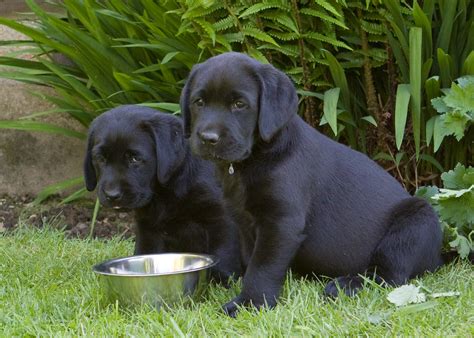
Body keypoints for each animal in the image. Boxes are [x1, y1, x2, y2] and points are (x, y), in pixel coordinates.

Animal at [82, 105, 243, 282]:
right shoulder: (149, 227)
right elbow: (146, 251)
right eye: (100, 158)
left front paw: (221, 279)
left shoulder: (222, 218)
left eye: (135, 158)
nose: (112, 195)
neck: (167, 189)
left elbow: (224, 250)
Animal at [181, 51, 444, 316]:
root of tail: (439, 258)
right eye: (199, 102)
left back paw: (345, 285)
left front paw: (250, 302)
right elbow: (249, 258)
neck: (253, 159)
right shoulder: (243, 220)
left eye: (239, 104)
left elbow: (262, 265)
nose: (208, 138)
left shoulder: (281, 222)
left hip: (416, 221)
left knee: (390, 275)